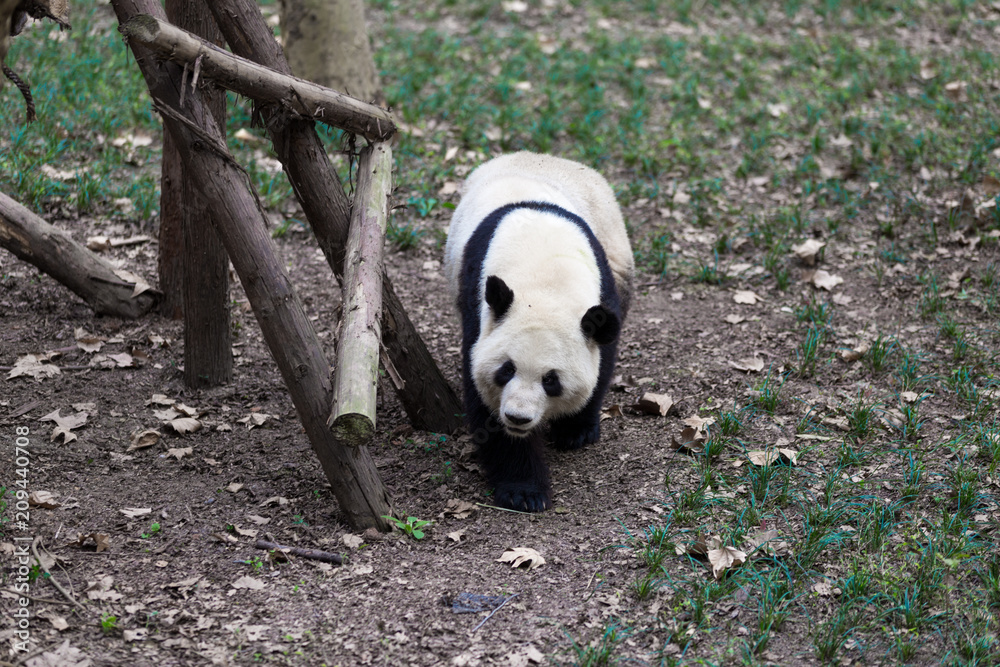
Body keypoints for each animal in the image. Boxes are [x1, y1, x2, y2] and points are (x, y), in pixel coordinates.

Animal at [444, 154, 632, 516]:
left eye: (551, 380)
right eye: (506, 370)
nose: (518, 417)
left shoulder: (602, 294)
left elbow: (603, 359)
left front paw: (574, 430)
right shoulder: (480, 308)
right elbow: (483, 399)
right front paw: (524, 492)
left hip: (616, 244)